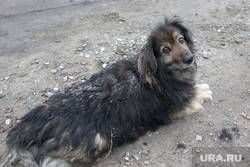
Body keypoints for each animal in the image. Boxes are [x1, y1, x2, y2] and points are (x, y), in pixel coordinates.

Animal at [2, 17, 212, 166]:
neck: (161, 74)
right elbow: (196, 94)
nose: (190, 58)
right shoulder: (181, 105)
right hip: (91, 143)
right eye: (165, 49)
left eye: (181, 39)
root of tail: (24, 128)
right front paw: (203, 89)